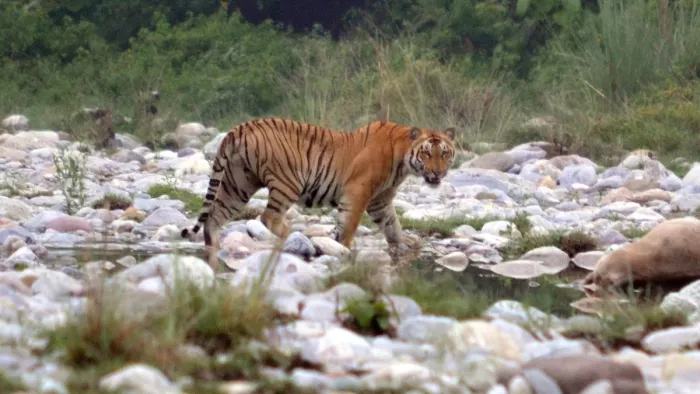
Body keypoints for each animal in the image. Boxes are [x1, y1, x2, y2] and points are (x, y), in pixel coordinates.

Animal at [179, 117, 454, 268]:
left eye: (445, 153)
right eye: (426, 154)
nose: (438, 173)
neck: (403, 158)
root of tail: (242, 126)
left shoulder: (381, 201)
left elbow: (392, 225)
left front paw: (406, 244)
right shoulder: (358, 192)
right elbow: (349, 225)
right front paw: (343, 248)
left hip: (238, 184)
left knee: (214, 217)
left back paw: (212, 248)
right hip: (288, 181)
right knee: (268, 217)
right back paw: (295, 236)